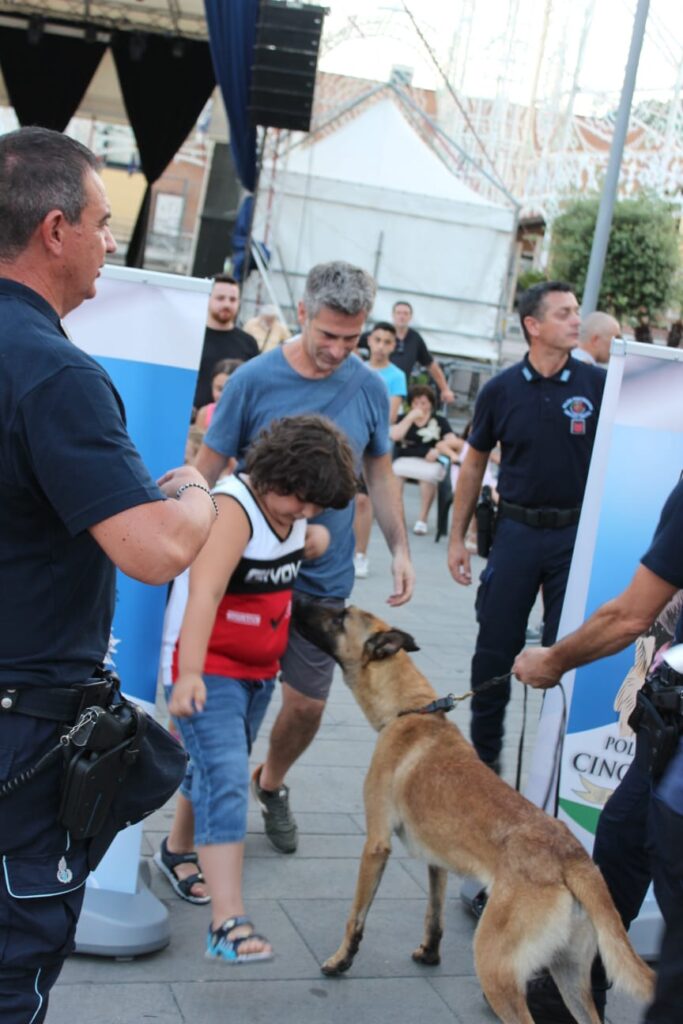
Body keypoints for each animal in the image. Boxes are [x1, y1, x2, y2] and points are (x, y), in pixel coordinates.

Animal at [294, 602, 655, 1024]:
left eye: (339, 617)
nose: (299, 601)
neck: (410, 710)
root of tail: (575, 859)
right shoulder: (438, 862)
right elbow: (434, 916)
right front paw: (430, 954)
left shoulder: (375, 845)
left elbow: (356, 916)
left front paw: (341, 960)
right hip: (569, 972)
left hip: (495, 966)